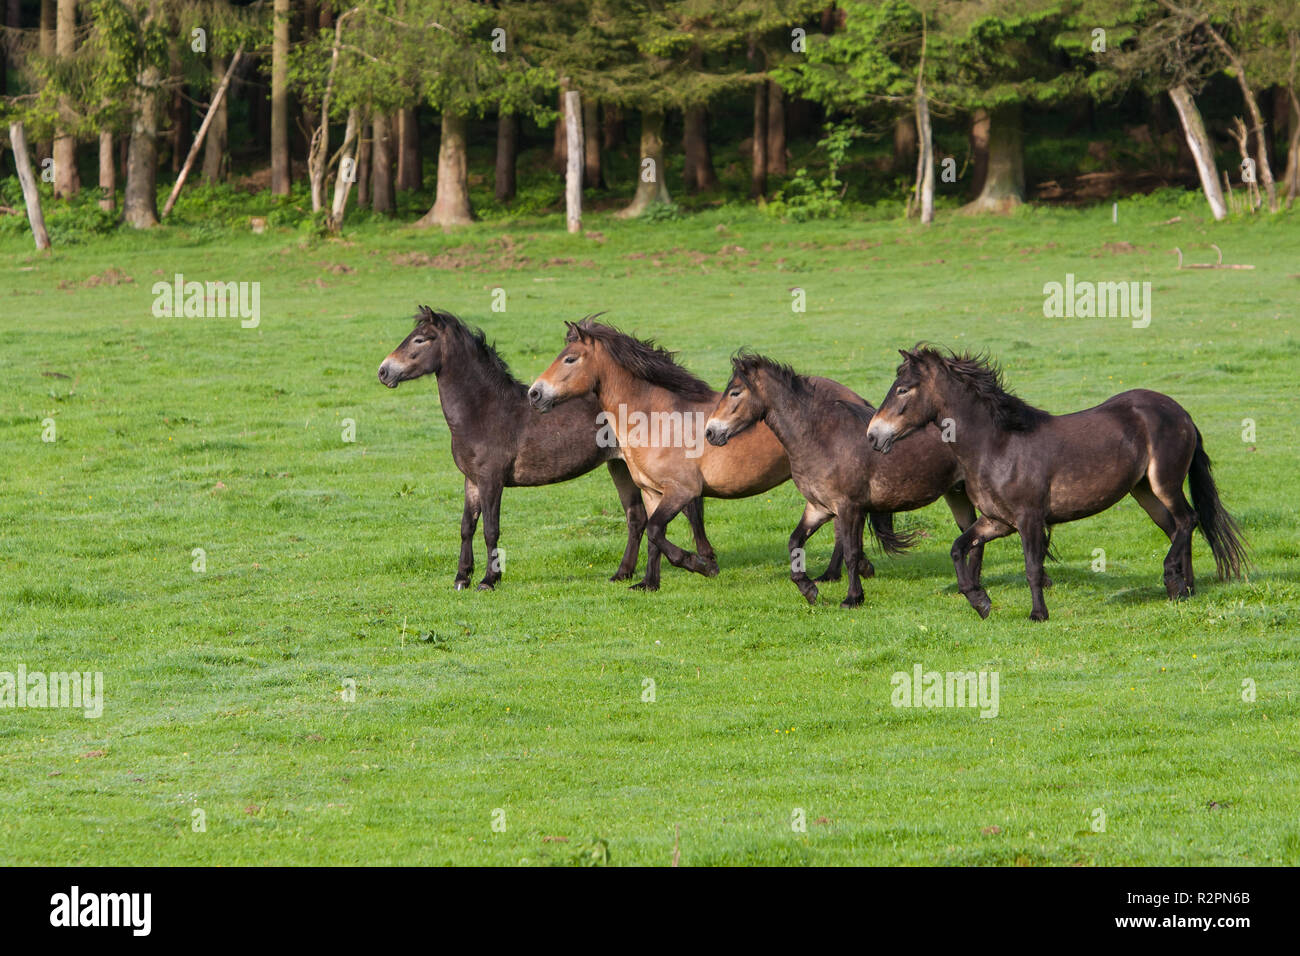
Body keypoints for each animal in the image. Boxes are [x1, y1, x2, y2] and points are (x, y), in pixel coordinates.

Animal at [379, 306, 712, 590]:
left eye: (420, 339)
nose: (384, 371)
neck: (484, 410)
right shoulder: (471, 480)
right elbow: (466, 527)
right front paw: (462, 578)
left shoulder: (491, 481)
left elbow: (490, 529)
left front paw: (488, 580)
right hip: (620, 465)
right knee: (638, 518)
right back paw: (624, 574)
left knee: (683, 513)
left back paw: (699, 562)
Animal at [522, 321, 868, 587]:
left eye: (570, 359)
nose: (535, 393)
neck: (655, 419)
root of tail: (855, 398)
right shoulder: (652, 492)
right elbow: (653, 536)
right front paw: (648, 583)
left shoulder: (682, 490)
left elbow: (656, 530)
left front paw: (700, 564)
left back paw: (833, 574)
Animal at [707, 356, 977, 608]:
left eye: (735, 392)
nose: (710, 432)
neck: (821, 439)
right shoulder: (818, 508)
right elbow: (795, 542)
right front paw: (809, 589)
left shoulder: (849, 508)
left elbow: (851, 551)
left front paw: (853, 598)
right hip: (957, 494)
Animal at [863, 348, 1248, 624]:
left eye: (902, 389)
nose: (873, 435)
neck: (997, 445)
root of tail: (1181, 412)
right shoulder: (996, 522)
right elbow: (959, 549)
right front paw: (980, 601)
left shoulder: (1030, 519)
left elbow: (1033, 568)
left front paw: (1038, 614)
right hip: (1144, 492)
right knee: (1176, 528)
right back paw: (1185, 590)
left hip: (1164, 483)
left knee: (1188, 521)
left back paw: (1173, 581)